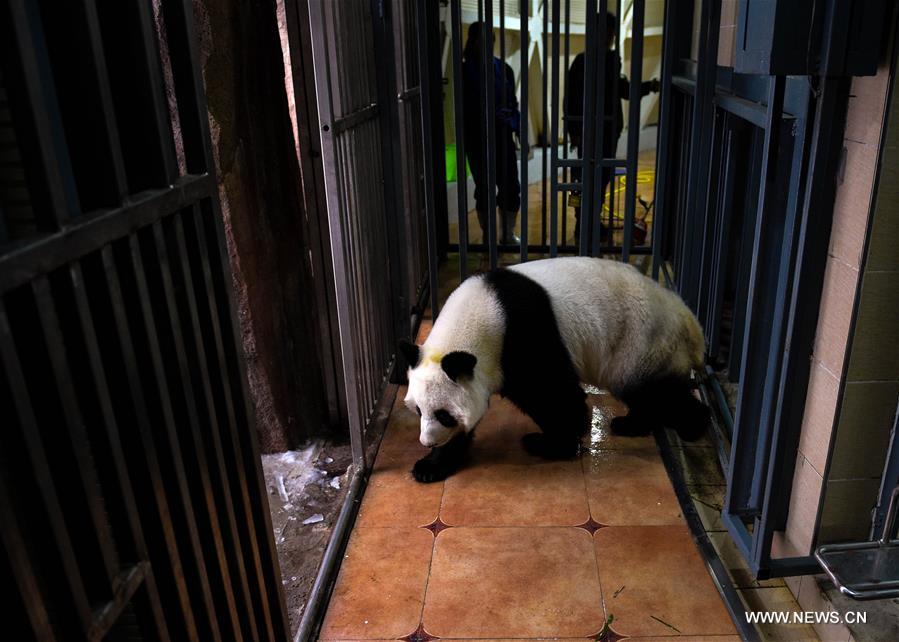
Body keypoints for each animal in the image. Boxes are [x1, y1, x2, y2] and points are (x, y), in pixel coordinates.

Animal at [400, 255, 712, 480]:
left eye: (444, 415)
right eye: (419, 410)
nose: (427, 442)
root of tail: (688, 318)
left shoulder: (521, 335)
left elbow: (553, 393)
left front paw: (551, 443)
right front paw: (431, 465)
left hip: (642, 344)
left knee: (655, 392)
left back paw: (693, 426)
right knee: (649, 397)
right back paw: (633, 424)